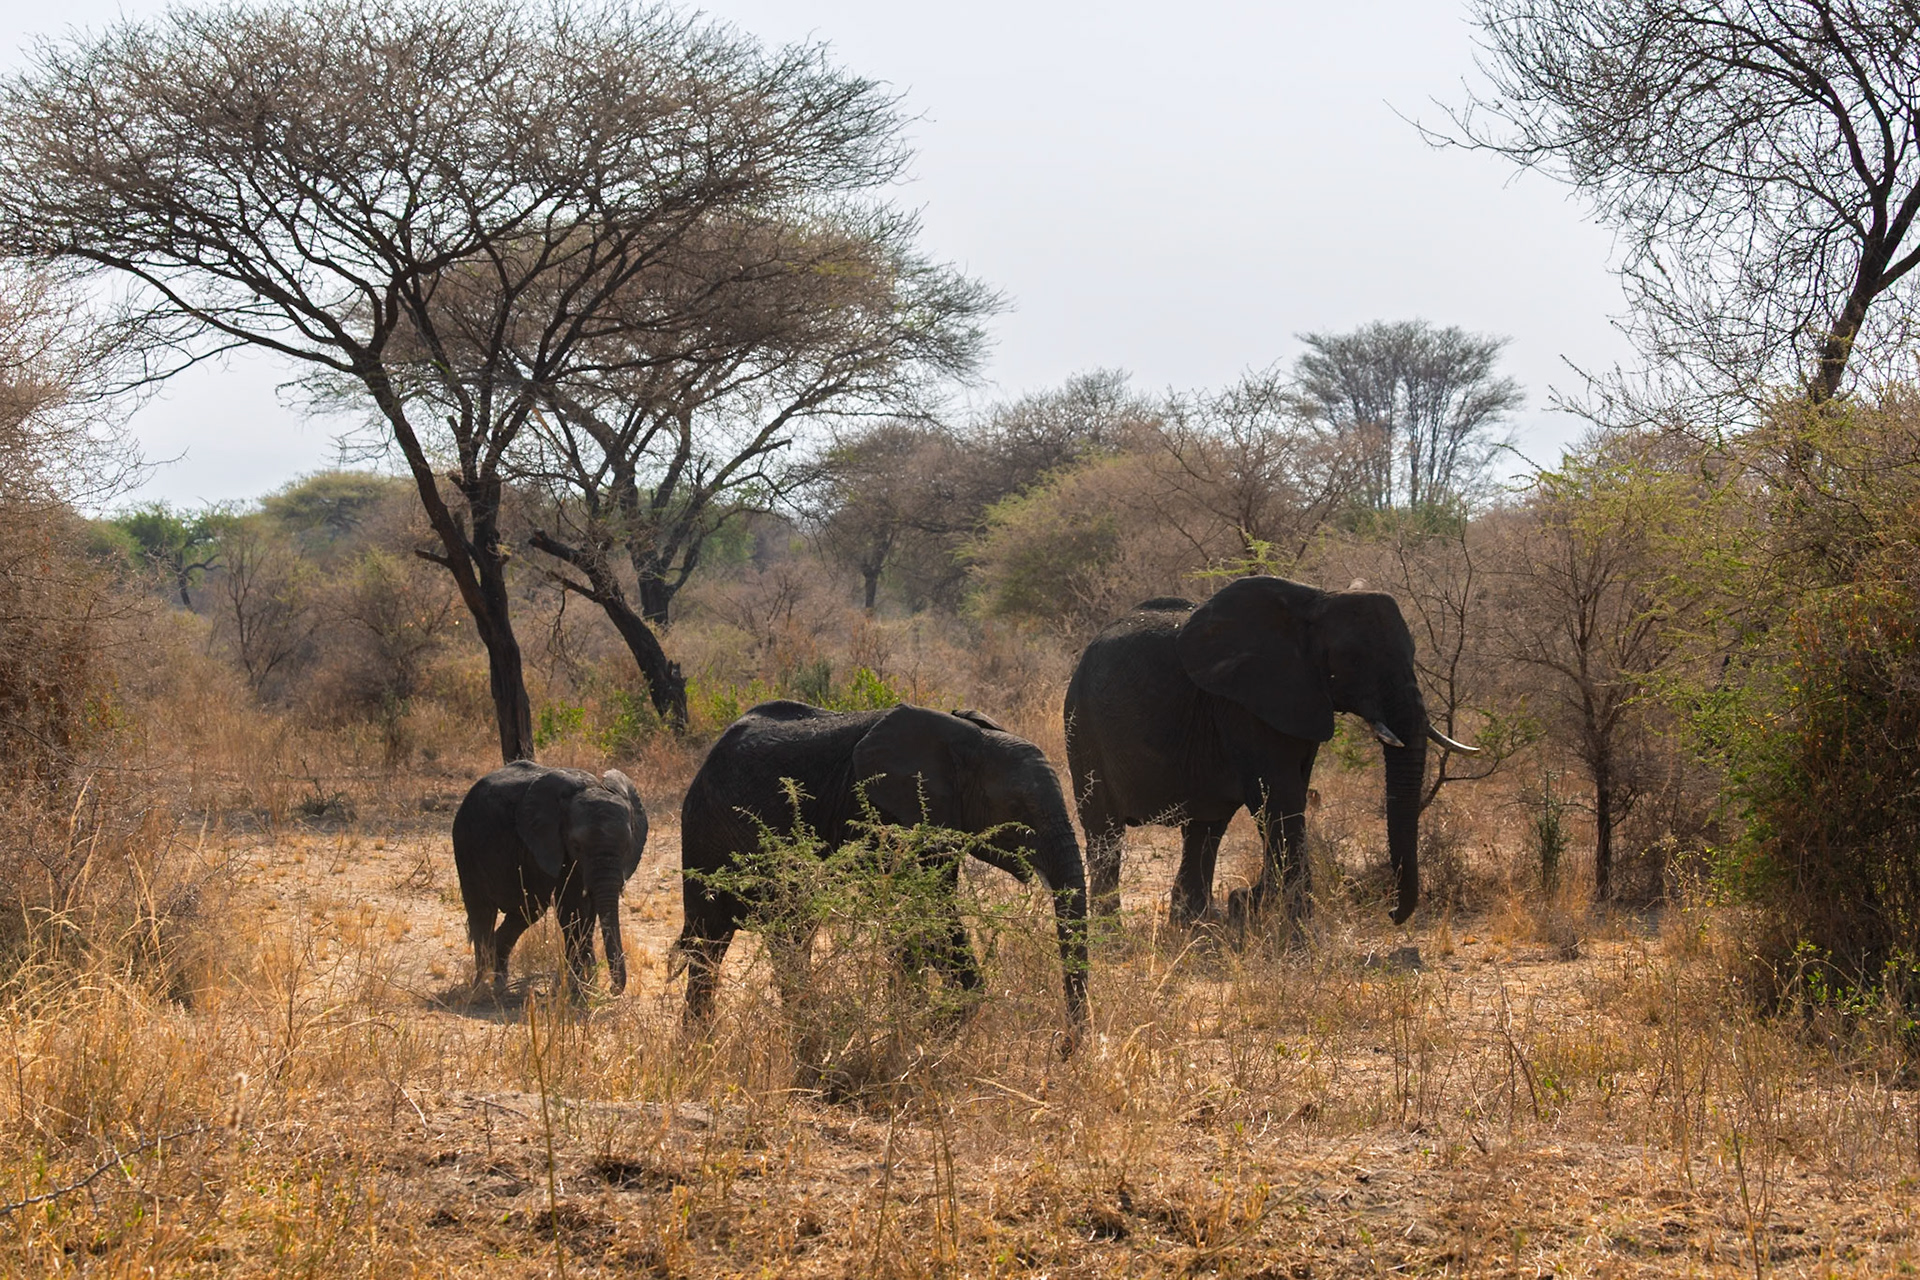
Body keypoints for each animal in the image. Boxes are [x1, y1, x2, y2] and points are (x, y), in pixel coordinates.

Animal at [452, 761, 648, 997]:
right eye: (576, 845)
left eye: (627, 846)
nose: (612, 989)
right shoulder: (549, 845)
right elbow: (572, 909)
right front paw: (578, 991)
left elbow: (588, 912)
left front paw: (584, 987)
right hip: (465, 844)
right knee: (482, 913)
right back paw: (481, 987)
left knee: (525, 913)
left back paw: (499, 983)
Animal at [672, 701, 1089, 1039]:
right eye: (1019, 809)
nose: (1063, 1047)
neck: (968, 741)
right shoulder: (884, 814)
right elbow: (925, 910)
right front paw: (917, 1033)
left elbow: (932, 910)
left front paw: (916, 1029)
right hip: (704, 830)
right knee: (711, 938)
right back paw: (706, 1044)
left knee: (788, 932)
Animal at [1064, 576, 1475, 928]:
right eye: (1354, 659)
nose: (1391, 913)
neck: (1317, 602)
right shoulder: (1244, 703)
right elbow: (1279, 797)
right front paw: (1297, 939)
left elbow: (1289, 796)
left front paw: (1256, 910)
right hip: (1081, 726)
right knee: (1105, 832)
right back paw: (1114, 936)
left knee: (1205, 828)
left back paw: (1193, 928)